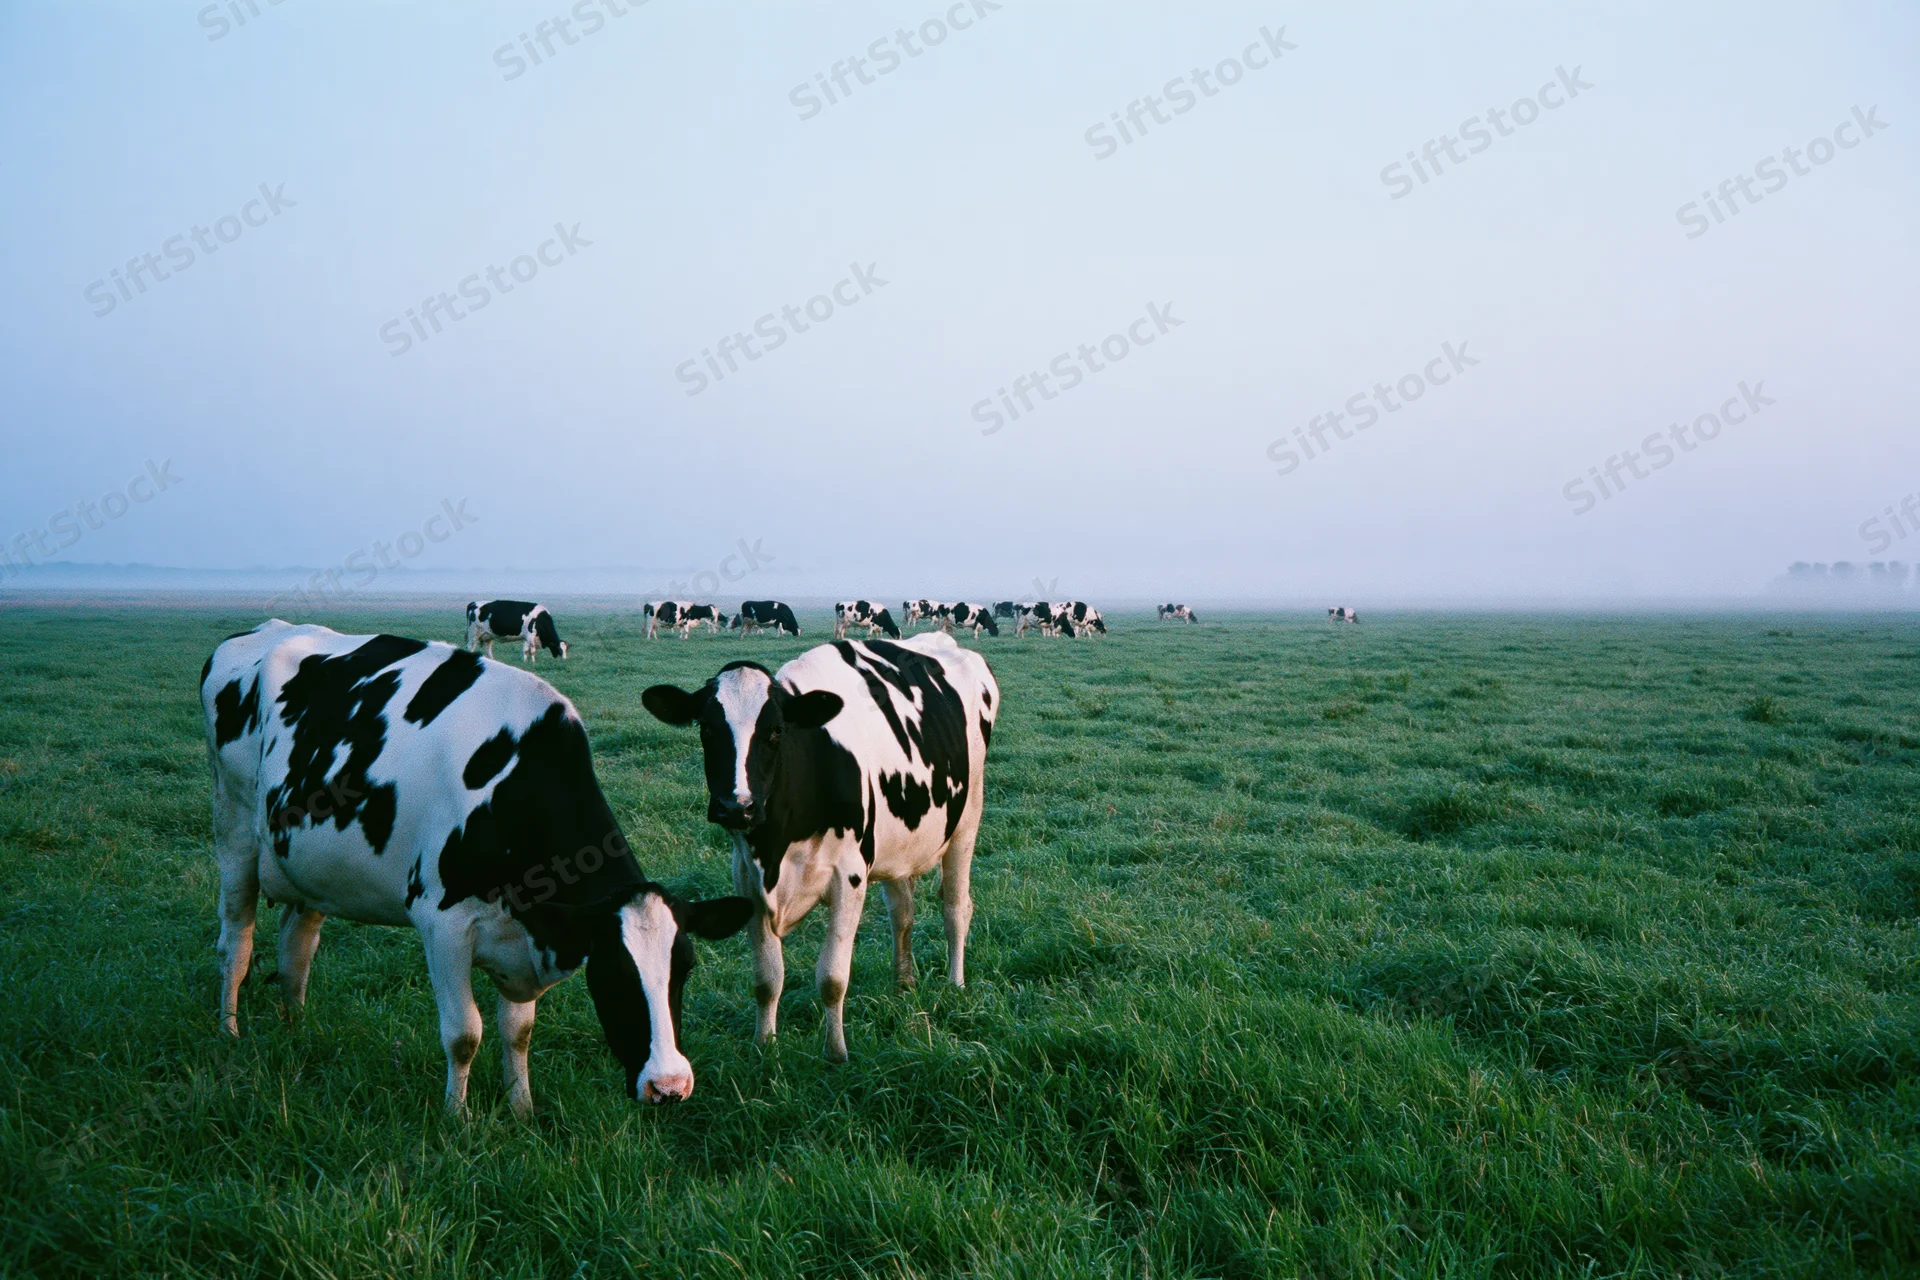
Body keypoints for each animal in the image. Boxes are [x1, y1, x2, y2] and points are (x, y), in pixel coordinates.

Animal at [201, 621, 751, 1115]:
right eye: (612, 971)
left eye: (685, 967)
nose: (669, 1086)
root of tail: (255, 632)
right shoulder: (441, 924)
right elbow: (464, 1033)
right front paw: (457, 1118)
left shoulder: (524, 931)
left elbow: (518, 1032)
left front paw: (522, 1110)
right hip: (233, 831)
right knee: (236, 943)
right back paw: (228, 1032)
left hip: (311, 865)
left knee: (296, 948)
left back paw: (295, 1030)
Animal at [640, 633, 997, 1063]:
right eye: (706, 728)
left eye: (776, 730)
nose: (737, 806)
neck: (776, 845)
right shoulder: (748, 879)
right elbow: (766, 978)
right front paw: (765, 1045)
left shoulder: (849, 876)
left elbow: (832, 977)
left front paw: (836, 1052)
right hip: (897, 844)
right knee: (902, 913)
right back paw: (904, 983)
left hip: (966, 821)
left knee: (956, 908)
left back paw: (955, 984)